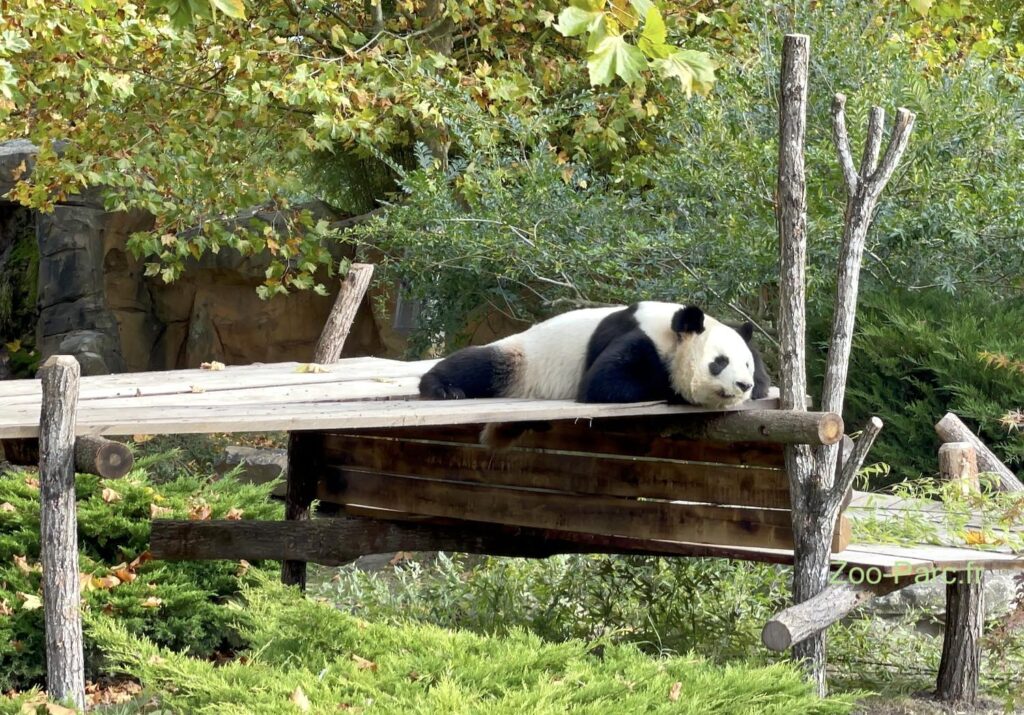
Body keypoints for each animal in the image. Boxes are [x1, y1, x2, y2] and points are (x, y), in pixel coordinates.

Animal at [415, 301, 770, 405]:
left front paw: (760, 388)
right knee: (481, 365)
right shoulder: (641, 339)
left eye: (746, 365)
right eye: (719, 363)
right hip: (523, 358)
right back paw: (442, 388)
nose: (743, 385)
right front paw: (673, 390)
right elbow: (605, 382)